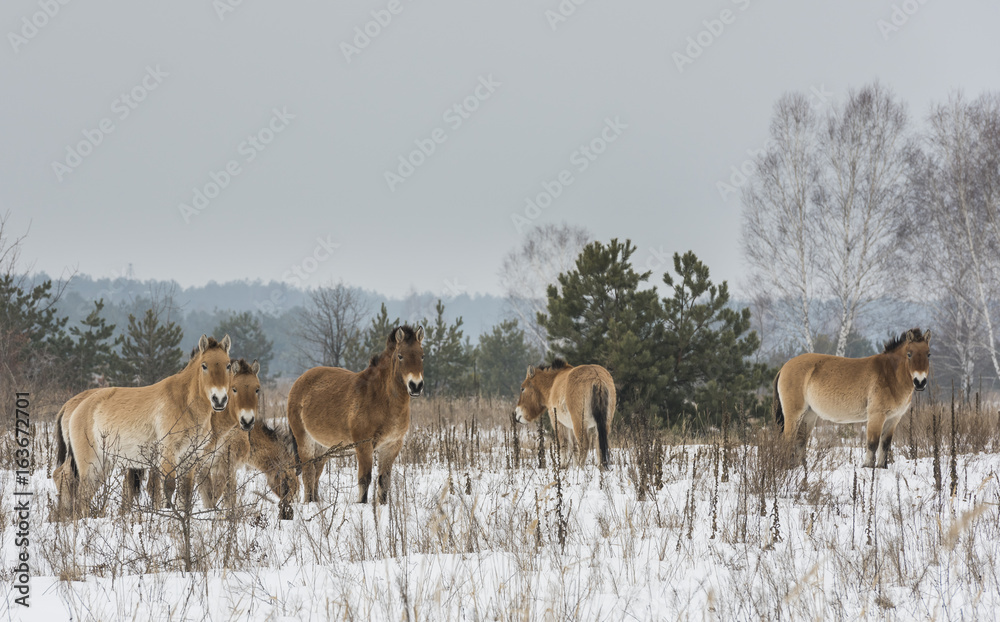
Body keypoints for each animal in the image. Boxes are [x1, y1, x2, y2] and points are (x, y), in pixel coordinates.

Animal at [63, 335, 233, 515]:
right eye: (204, 366)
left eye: (228, 365)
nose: (219, 399)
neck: (184, 404)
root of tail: (77, 407)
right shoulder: (168, 453)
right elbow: (168, 487)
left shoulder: (191, 457)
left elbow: (185, 493)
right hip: (90, 466)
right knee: (82, 496)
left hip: (104, 465)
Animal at [287, 325, 424, 504]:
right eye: (400, 356)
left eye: (422, 355)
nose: (416, 386)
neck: (381, 398)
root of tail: (298, 382)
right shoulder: (364, 445)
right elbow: (365, 479)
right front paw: (362, 503)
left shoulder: (391, 446)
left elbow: (384, 481)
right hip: (304, 440)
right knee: (308, 473)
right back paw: (309, 503)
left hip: (322, 447)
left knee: (316, 473)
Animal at [773, 328, 931, 469]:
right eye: (909, 354)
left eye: (928, 354)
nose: (920, 382)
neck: (889, 374)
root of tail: (784, 368)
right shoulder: (876, 416)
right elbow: (872, 443)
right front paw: (867, 467)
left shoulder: (893, 419)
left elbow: (885, 445)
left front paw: (881, 468)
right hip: (794, 414)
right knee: (788, 439)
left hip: (809, 415)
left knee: (800, 441)